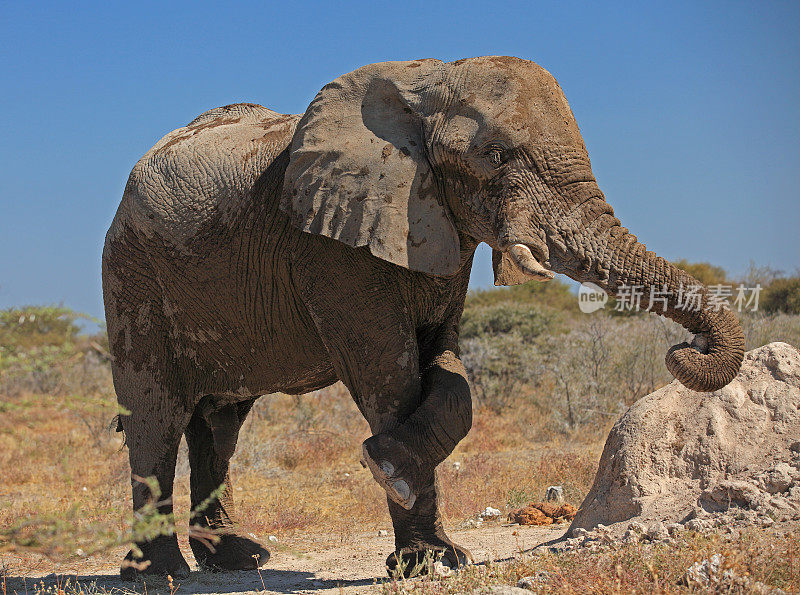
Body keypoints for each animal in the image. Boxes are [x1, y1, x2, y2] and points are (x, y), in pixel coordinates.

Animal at [103, 57, 748, 584]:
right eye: (495, 156)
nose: (687, 348)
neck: (429, 84)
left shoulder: (441, 236)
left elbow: (449, 371)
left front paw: (438, 548)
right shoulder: (330, 248)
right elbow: (387, 374)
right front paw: (405, 519)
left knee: (219, 423)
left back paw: (240, 559)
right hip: (133, 275)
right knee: (157, 415)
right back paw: (160, 573)